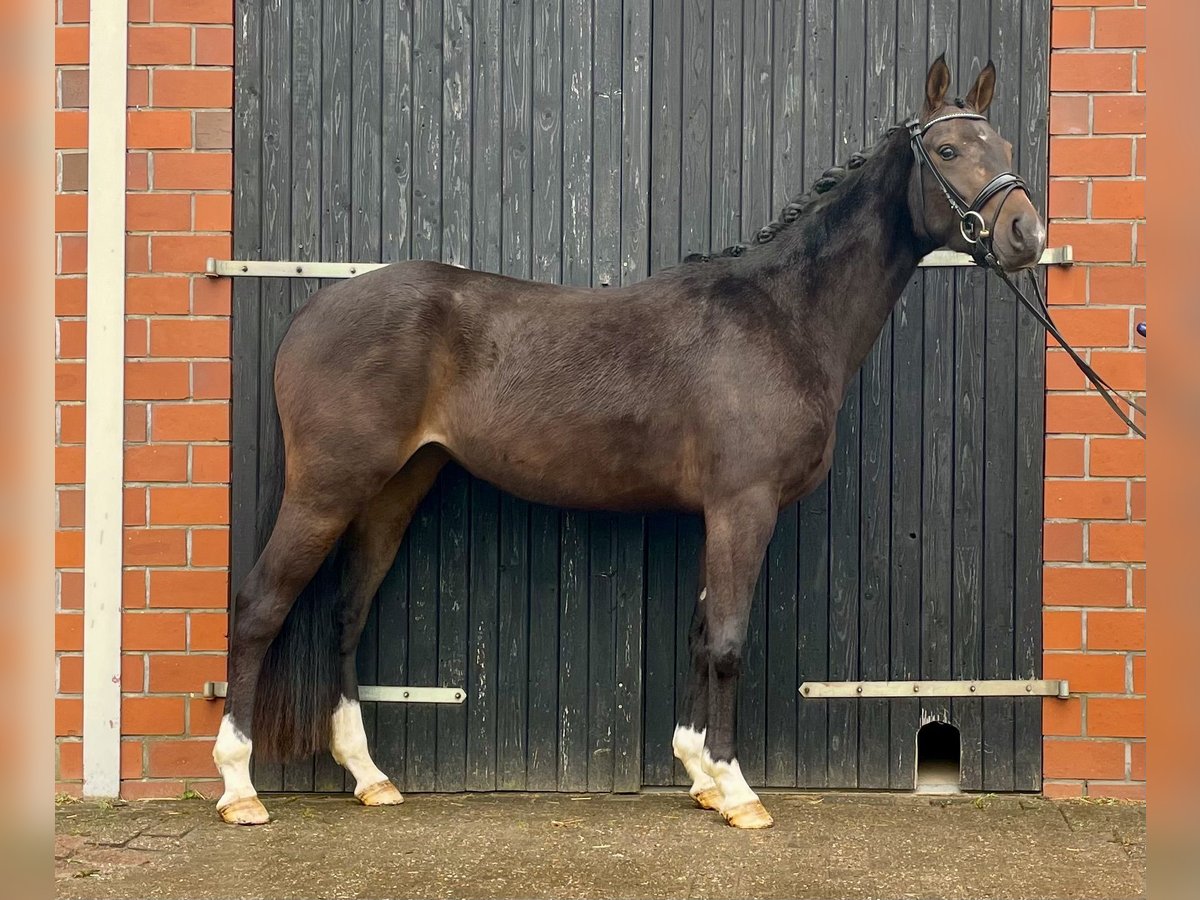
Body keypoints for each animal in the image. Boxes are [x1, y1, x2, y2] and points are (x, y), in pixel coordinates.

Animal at [213, 56, 1046, 829]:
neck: (780, 316)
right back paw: (239, 788)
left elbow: (702, 632)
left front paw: (700, 774)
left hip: (393, 490)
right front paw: (738, 790)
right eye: (947, 150)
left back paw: (370, 777)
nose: (1026, 234)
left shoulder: (720, 512)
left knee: (345, 614)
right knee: (259, 606)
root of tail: (317, 308)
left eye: (1004, 143)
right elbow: (729, 642)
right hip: (328, 488)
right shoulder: (743, 506)